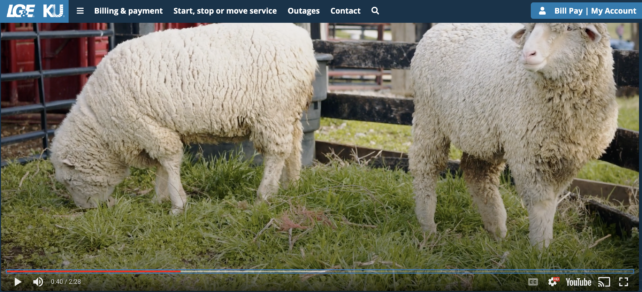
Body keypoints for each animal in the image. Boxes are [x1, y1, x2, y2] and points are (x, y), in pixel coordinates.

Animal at [49, 23, 318, 214]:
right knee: (295, 144)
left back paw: (264, 195)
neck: (102, 125)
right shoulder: (158, 128)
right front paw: (159, 198)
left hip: (273, 113)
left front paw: (177, 204)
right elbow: (161, 165)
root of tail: (304, 41)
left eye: (70, 180)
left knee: (276, 153)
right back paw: (292, 184)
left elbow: (169, 161)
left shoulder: (146, 125)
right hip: (288, 112)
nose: (85, 210)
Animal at [410, 23, 616, 249]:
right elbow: (540, 203)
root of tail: (440, 26)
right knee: (426, 168)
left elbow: (552, 200)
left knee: (478, 175)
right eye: (531, 29)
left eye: (570, 28)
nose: (527, 53)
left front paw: (544, 244)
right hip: (429, 118)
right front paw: (540, 248)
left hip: (481, 134)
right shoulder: (528, 154)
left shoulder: (569, 160)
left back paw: (497, 231)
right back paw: (428, 227)